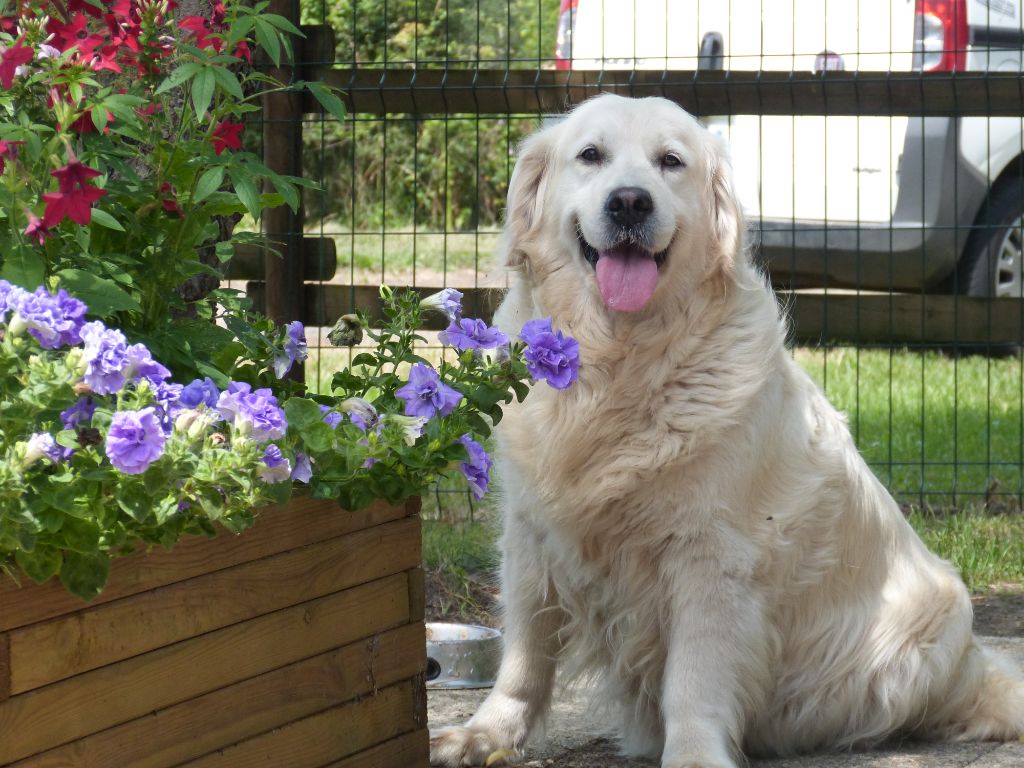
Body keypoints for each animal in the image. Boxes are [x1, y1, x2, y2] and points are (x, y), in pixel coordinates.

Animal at [425, 96, 1024, 768]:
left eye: (671, 161)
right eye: (590, 155)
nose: (629, 202)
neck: (620, 365)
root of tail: (972, 665)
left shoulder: (713, 556)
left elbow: (695, 679)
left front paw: (692, 753)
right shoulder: (531, 536)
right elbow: (525, 655)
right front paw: (486, 733)